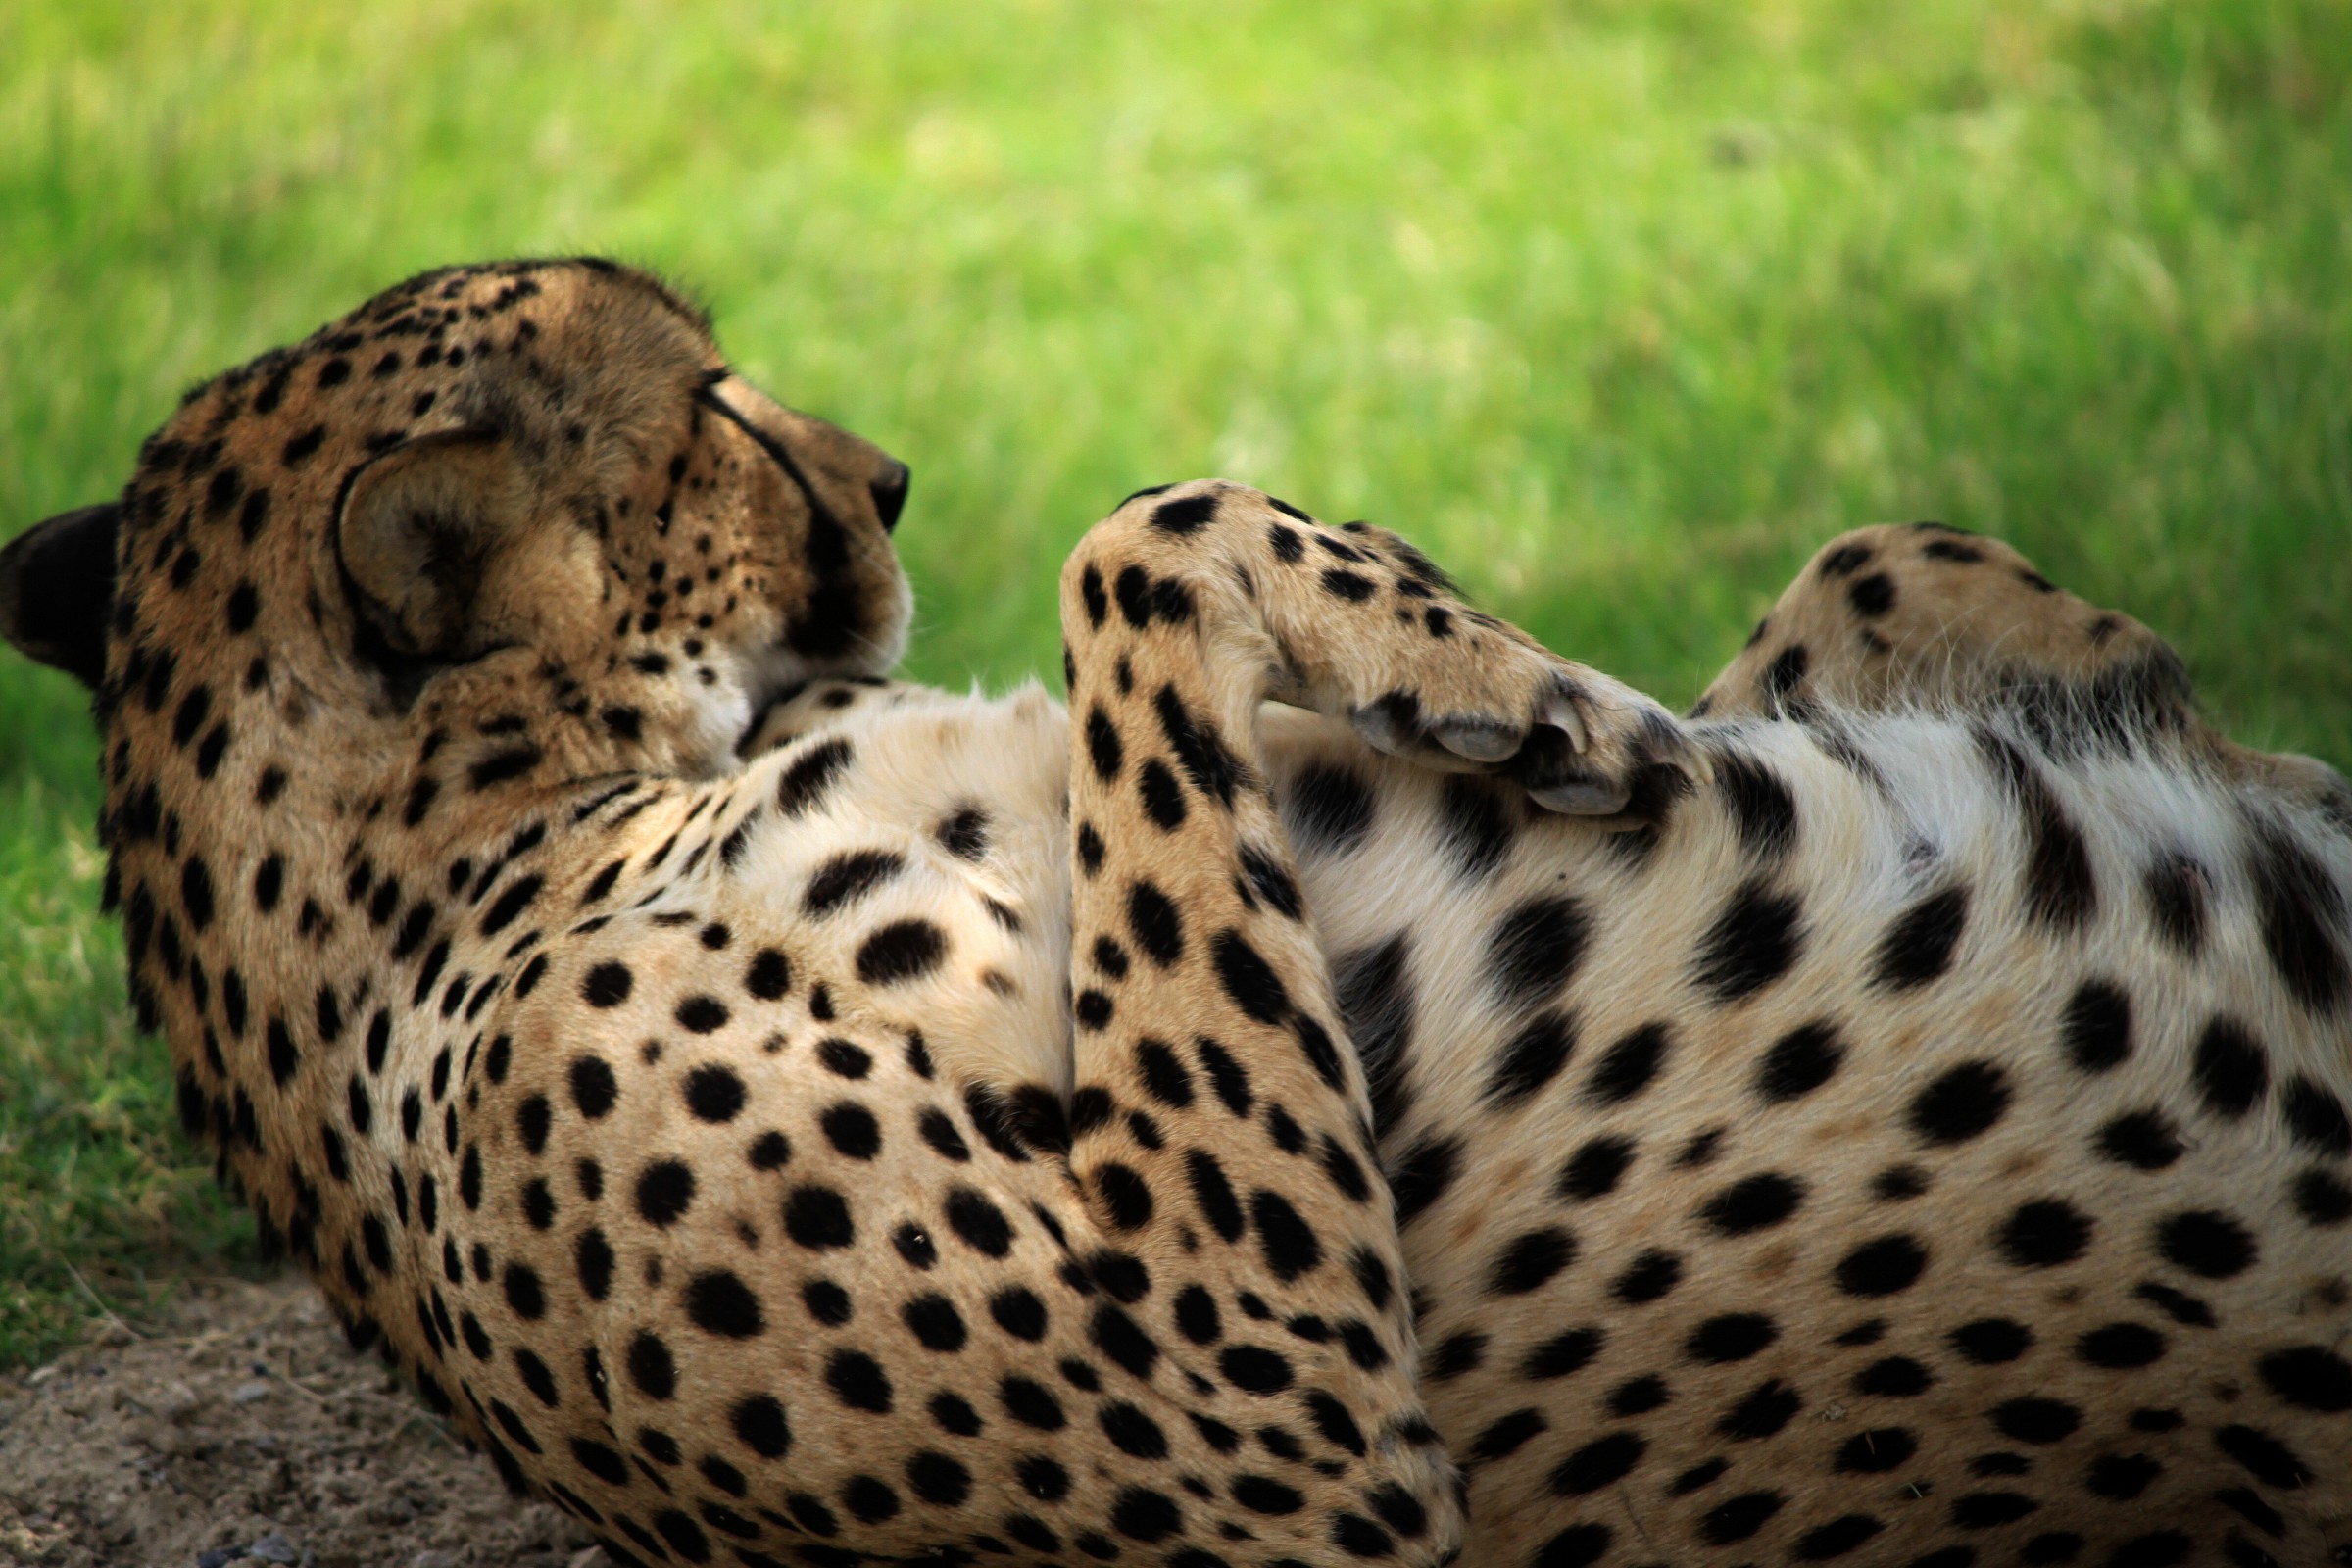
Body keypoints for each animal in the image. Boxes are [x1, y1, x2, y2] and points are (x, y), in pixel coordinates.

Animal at [3, 257, 2347, 1568]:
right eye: (713, 408)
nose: (891, 478)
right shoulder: (1269, 1450)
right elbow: (1141, 526)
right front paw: (1457, 647)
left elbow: (1843, 579)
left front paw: (2156, 697)